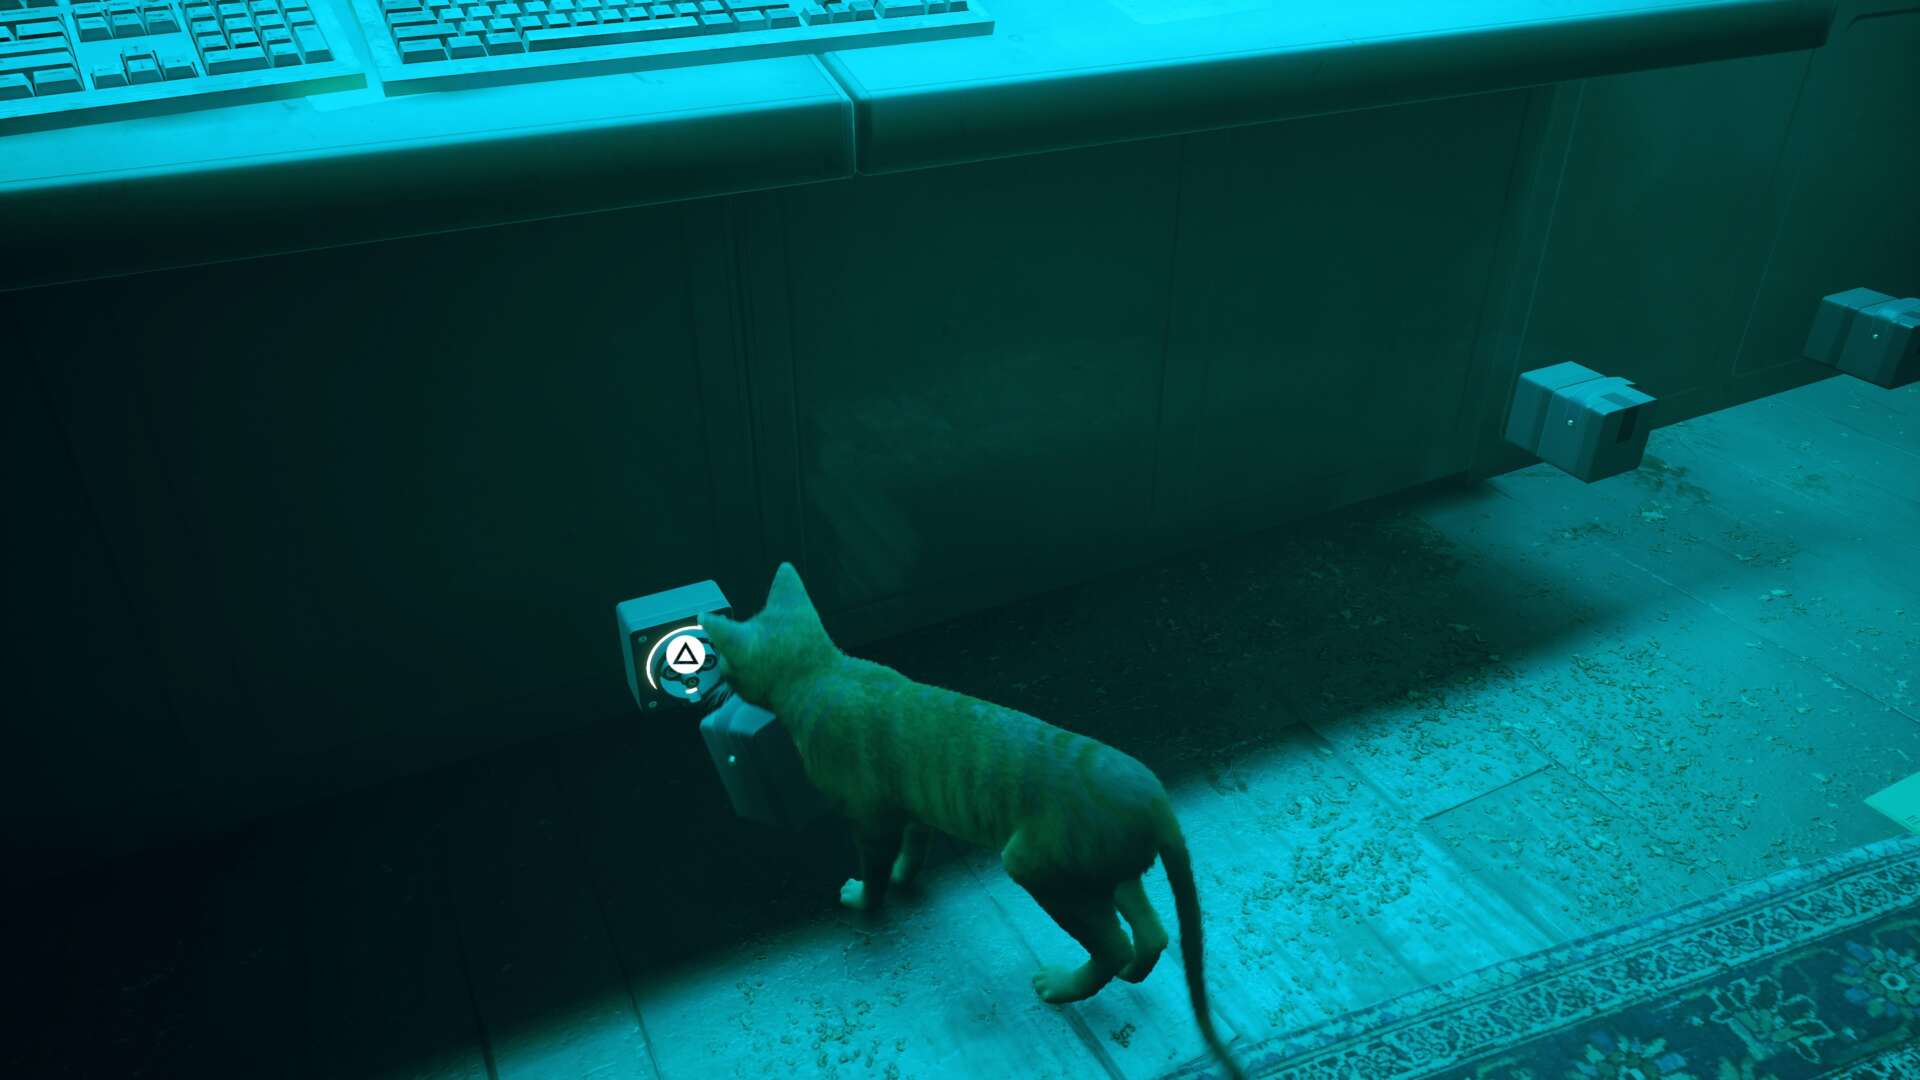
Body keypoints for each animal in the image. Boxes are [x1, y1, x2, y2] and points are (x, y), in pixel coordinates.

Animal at [700, 563, 1245, 1080]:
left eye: (723, 660)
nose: (713, 681)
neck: (824, 668)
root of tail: (1155, 801)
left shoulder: (872, 818)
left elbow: (874, 869)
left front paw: (865, 898)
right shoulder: (912, 806)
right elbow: (914, 846)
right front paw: (904, 876)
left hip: (1038, 866)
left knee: (1113, 944)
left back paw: (1064, 987)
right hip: (1104, 871)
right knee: (1151, 934)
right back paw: (1134, 969)